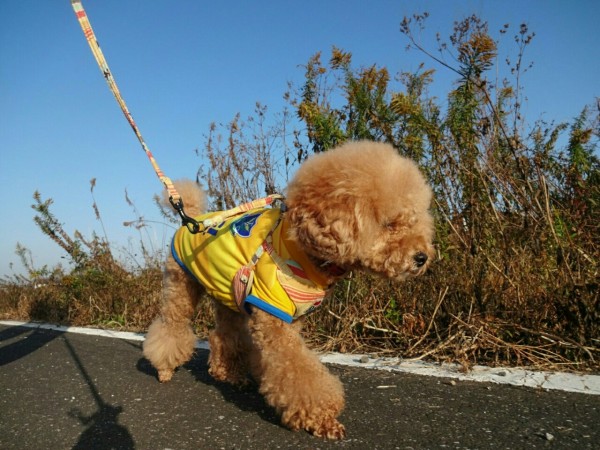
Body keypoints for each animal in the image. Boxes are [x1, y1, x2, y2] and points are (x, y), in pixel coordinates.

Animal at [143, 139, 434, 438]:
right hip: (181, 284)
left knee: (224, 335)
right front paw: (322, 419)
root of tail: (192, 218)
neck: (304, 251)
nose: (422, 257)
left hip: (228, 295)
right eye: (389, 224)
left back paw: (230, 375)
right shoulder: (275, 317)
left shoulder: (290, 316)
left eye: (414, 220)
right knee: (172, 324)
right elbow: (299, 372)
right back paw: (165, 369)